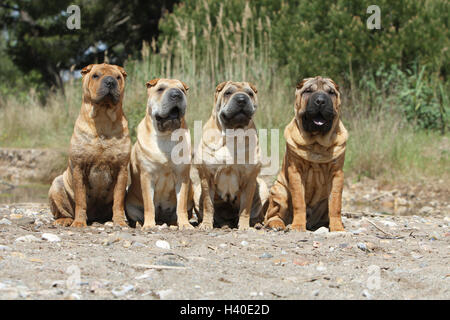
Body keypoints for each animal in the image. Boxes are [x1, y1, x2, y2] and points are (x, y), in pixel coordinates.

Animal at [48, 63, 131, 228]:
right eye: (95, 75)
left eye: (118, 77)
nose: (110, 81)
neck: (103, 118)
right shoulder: (79, 168)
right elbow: (81, 200)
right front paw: (79, 222)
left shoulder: (122, 170)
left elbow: (118, 200)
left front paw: (119, 221)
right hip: (56, 184)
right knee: (63, 211)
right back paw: (65, 220)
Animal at [193, 80, 268, 230]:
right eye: (228, 93)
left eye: (250, 93)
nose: (242, 99)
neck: (231, 135)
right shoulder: (206, 177)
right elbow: (208, 205)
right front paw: (206, 224)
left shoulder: (250, 178)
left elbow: (245, 207)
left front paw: (244, 226)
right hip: (197, 190)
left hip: (263, 187)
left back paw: (256, 223)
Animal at [264, 77, 348, 232]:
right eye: (308, 91)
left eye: (331, 92)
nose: (320, 101)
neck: (316, 143)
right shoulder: (295, 171)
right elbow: (299, 201)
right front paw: (298, 226)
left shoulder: (337, 174)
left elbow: (335, 203)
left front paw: (338, 228)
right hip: (279, 191)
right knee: (271, 215)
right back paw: (277, 225)